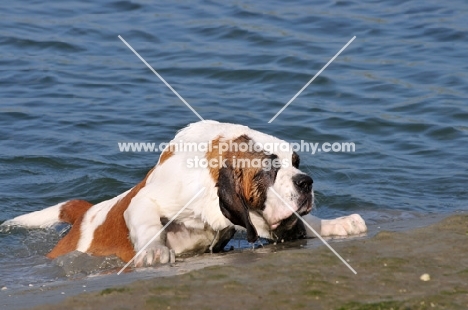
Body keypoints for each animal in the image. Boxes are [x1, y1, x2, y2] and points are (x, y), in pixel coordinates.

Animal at [0, 121, 366, 266]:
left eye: (296, 162)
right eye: (269, 168)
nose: (306, 182)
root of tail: (84, 212)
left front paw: (337, 224)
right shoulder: (148, 198)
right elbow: (147, 219)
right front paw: (154, 252)